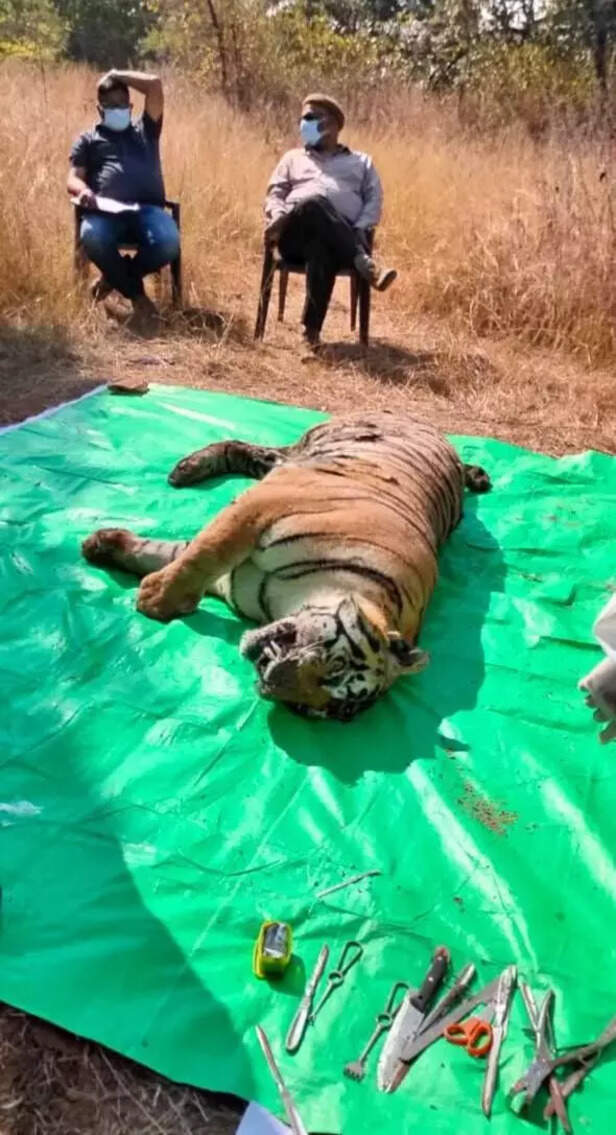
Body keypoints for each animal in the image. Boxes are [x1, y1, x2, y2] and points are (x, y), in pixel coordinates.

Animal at [81, 410, 490, 721]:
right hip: (306, 452)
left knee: (248, 451)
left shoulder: (230, 577)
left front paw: (105, 546)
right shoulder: (263, 505)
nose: (271, 683)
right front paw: (153, 599)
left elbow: (174, 553)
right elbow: (202, 552)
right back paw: (185, 470)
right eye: (336, 667)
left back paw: (185, 470)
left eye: (317, 710)